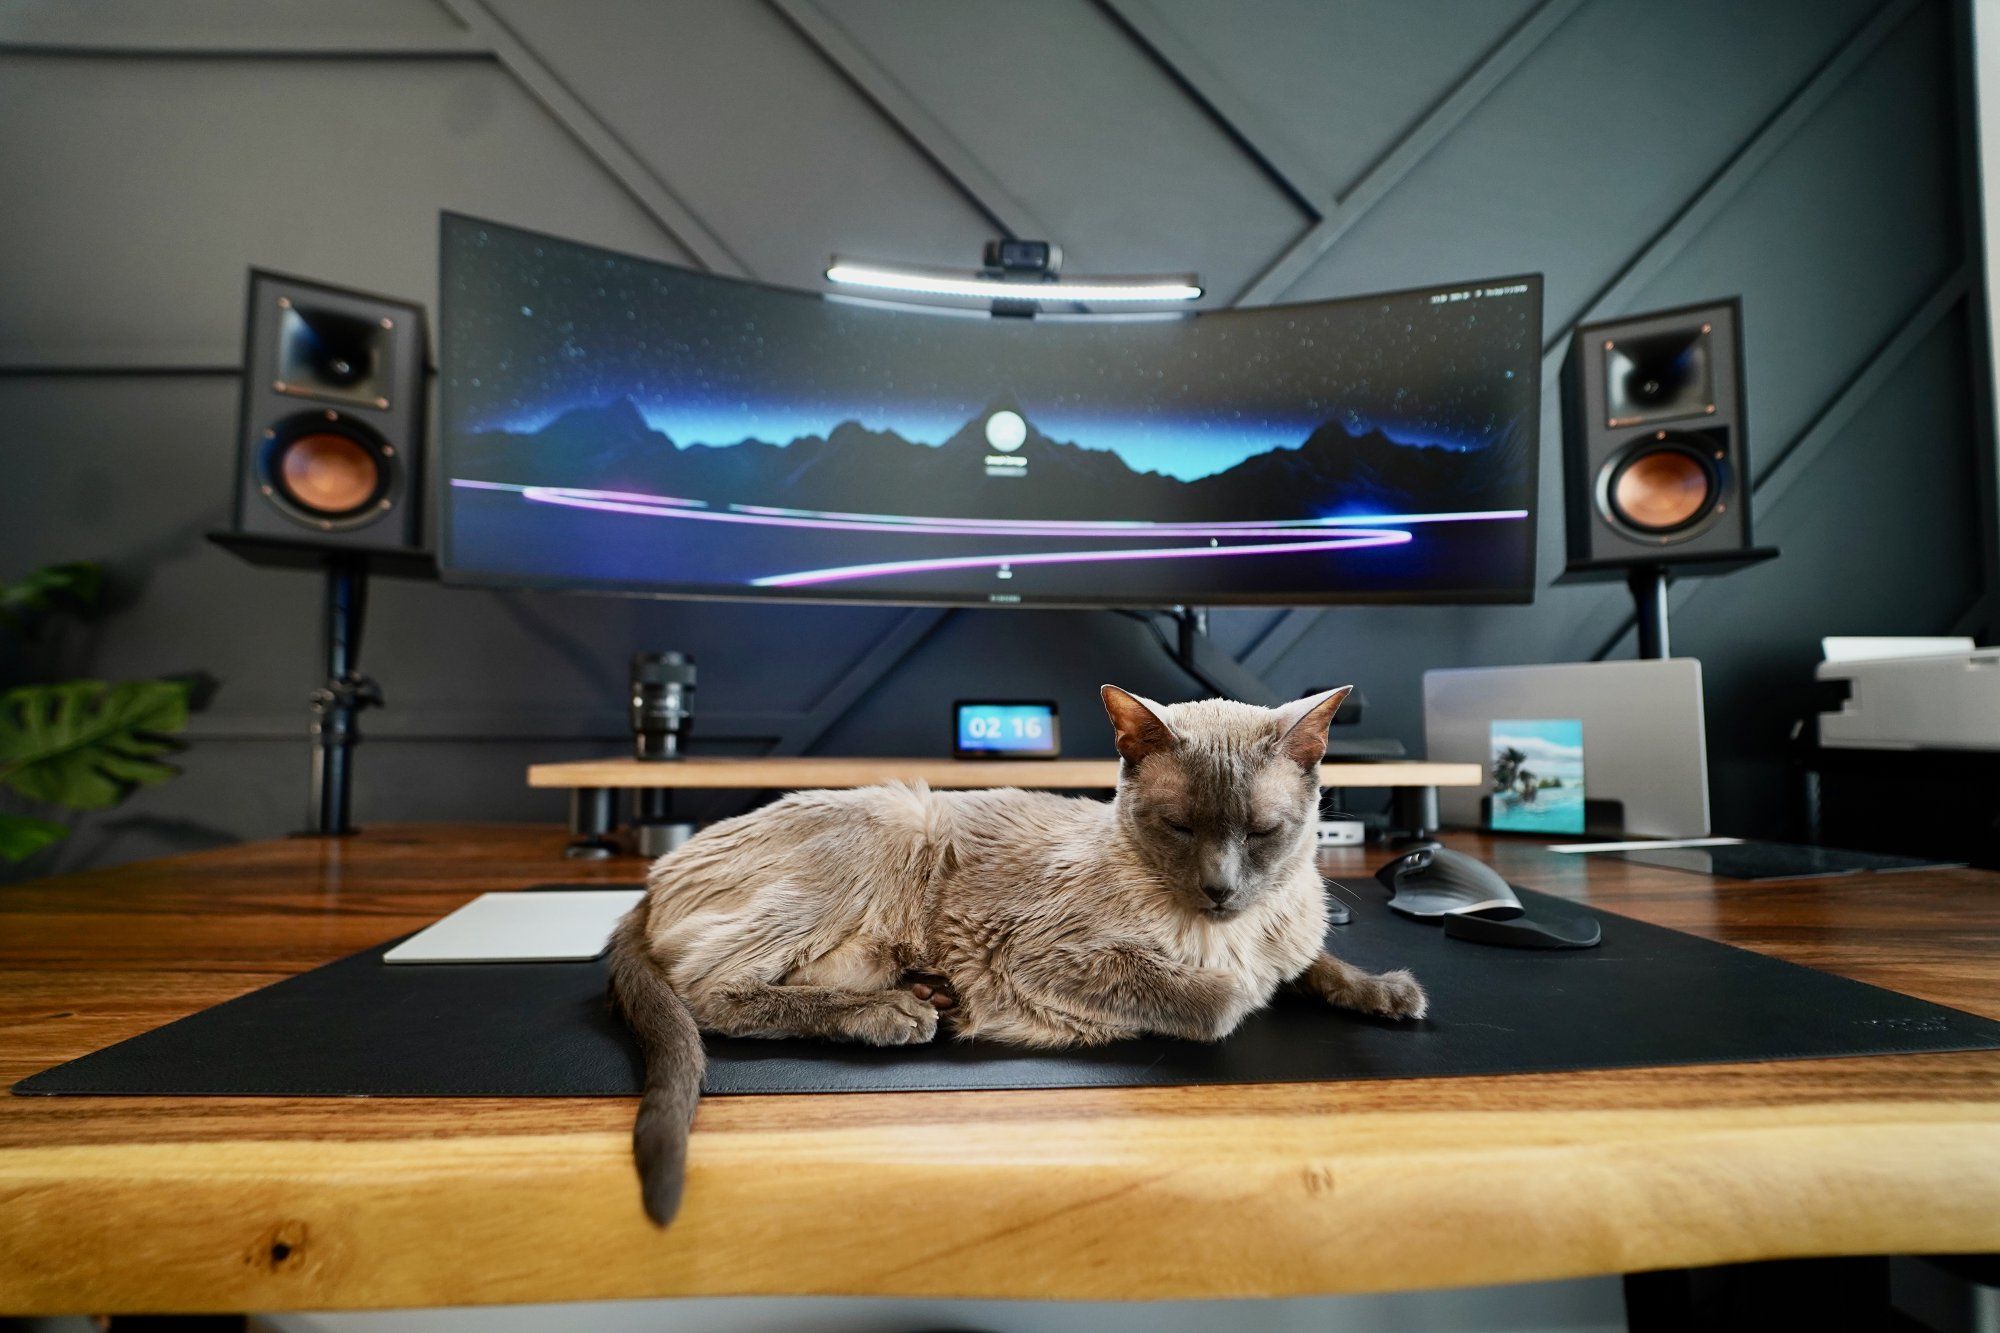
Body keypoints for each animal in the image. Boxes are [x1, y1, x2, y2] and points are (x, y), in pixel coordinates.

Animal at [604, 680, 1424, 1216]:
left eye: (1261, 831)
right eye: (1180, 827)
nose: (1220, 888)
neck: (1233, 930)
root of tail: (653, 875)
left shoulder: (1293, 940)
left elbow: (1318, 965)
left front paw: (1391, 992)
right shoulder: (1047, 958)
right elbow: (1223, 997)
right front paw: (1240, 988)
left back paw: (923, 990)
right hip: (890, 820)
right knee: (707, 991)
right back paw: (897, 1014)